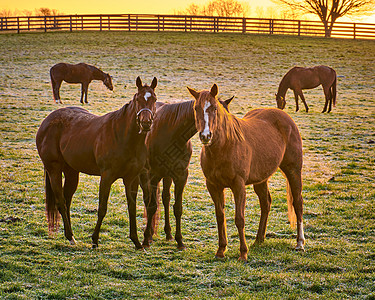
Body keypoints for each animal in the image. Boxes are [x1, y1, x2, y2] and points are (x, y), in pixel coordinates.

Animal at [35, 77, 157, 248]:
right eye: (137, 99)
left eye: (154, 99)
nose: (146, 123)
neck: (123, 137)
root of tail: (47, 122)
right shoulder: (106, 177)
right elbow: (102, 208)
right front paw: (94, 239)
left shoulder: (132, 178)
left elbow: (132, 208)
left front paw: (136, 241)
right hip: (54, 170)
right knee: (61, 202)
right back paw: (71, 236)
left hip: (72, 172)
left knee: (67, 200)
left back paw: (70, 235)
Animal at [141, 97, 234, 250]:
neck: (171, 134)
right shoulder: (152, 176)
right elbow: (152, 206)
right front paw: (145, 240)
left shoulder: (181, 176)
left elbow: (177, 208)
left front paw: (179, 241)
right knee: (147, 200)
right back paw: (149, 235)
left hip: (167, 176)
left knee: (166, 198)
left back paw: (168, 233)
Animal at [189, 84, 306, 260]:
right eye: (196, 108)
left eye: (214, 108)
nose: (205, 135)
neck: (225, 146)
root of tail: (286, 117)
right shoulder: (213, 186)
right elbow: (220, 216)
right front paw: (221, 250)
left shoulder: (239, 186)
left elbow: (239, 219)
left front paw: (243, 253)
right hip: (261, 179)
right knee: (265, 203)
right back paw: (259, 239)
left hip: (293, 170)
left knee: (297, 202)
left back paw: (299, 243)